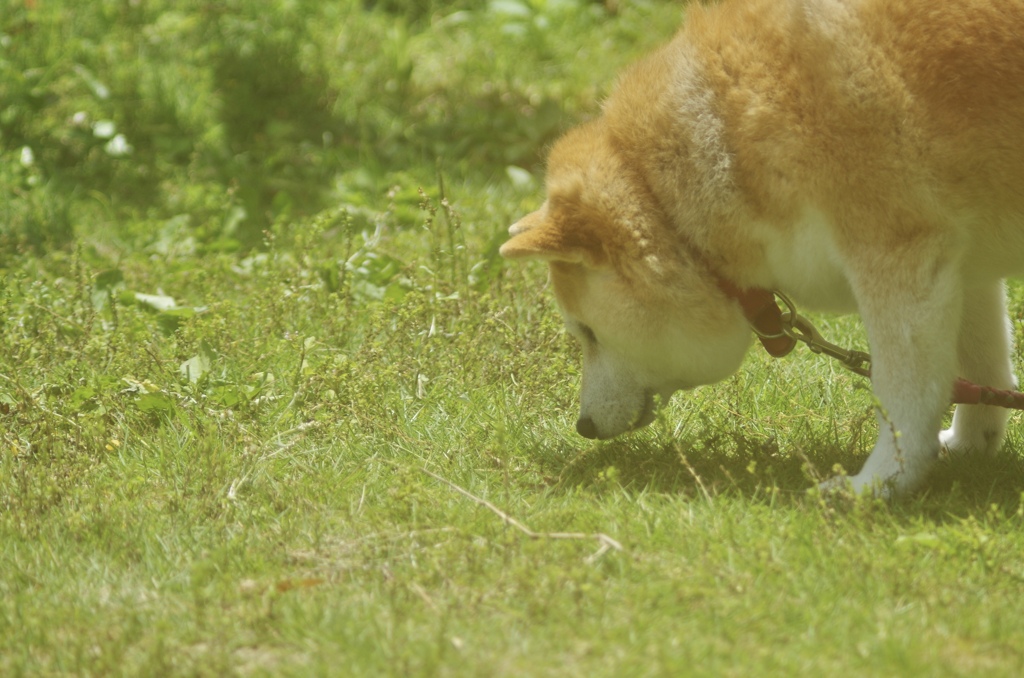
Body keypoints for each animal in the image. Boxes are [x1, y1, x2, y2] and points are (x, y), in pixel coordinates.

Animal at [499, 0, 1024, 499]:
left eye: (587, 333)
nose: (583, 426)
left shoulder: (898, 254)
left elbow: (904, 393)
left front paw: (878, 484)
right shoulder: (957, 263)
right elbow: (983, 366)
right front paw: (971, 443)